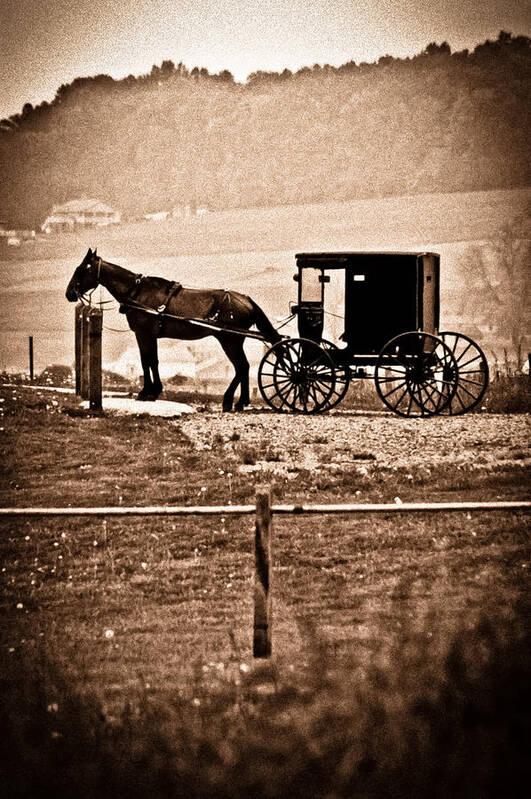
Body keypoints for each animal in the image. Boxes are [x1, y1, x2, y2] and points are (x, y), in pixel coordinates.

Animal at [65, 248, 282, 412]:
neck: (137, 292)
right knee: (242, 368)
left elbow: (147, 361)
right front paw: (154, 391)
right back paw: (240, 401)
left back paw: (231, 400)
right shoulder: (150, 335)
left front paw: (147, 392)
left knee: (241, 367)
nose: (69, 293)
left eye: (80, 269)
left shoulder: (143, 333)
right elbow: (153, 361)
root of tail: (245, 299)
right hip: (233, 341)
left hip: (229, 340)